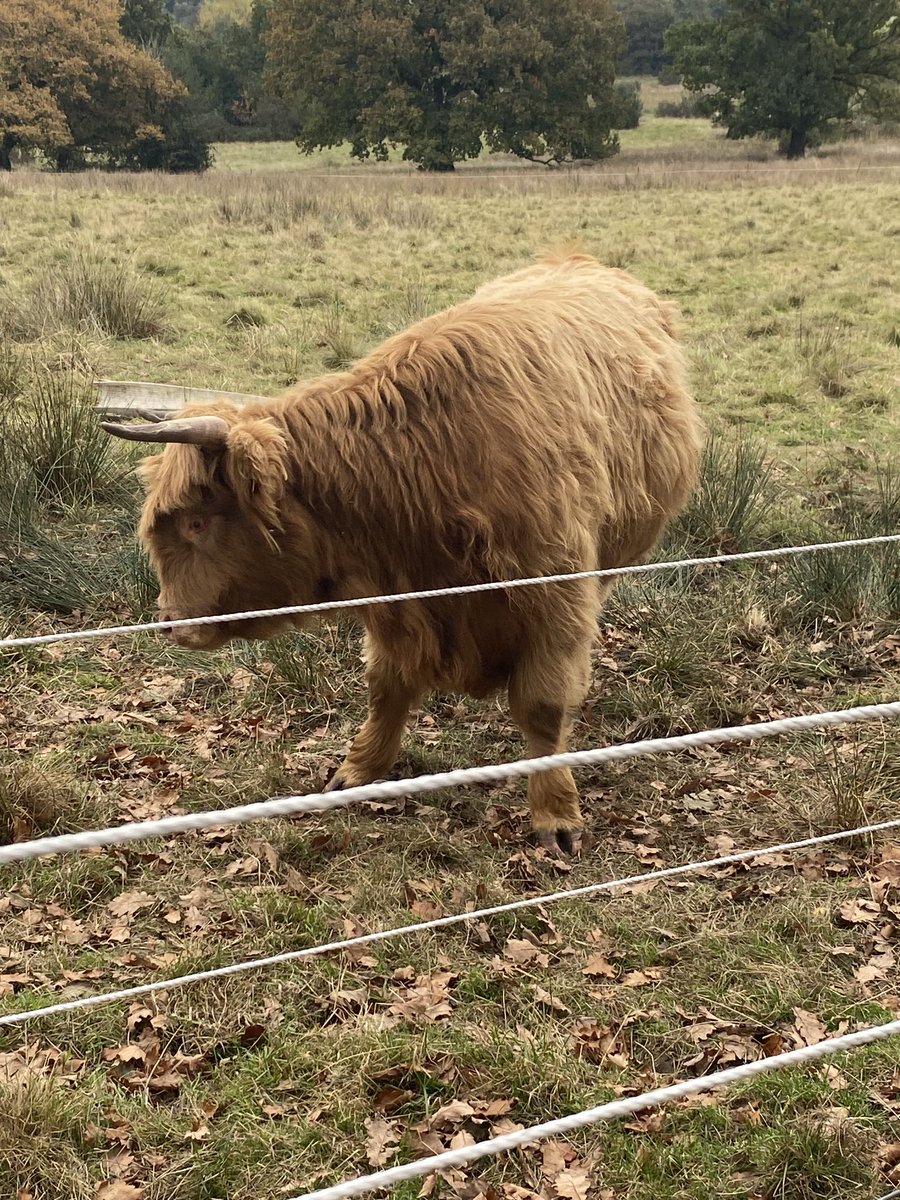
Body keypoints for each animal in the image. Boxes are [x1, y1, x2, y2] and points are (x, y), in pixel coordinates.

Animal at [103, 251, 702, 853]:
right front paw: (357, 771)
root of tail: (579, 258)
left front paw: (556, 815)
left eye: (197, 522)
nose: (169, 620)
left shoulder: (556, 593)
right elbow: (386, 687)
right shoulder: (394, 602)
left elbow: (542, 705)